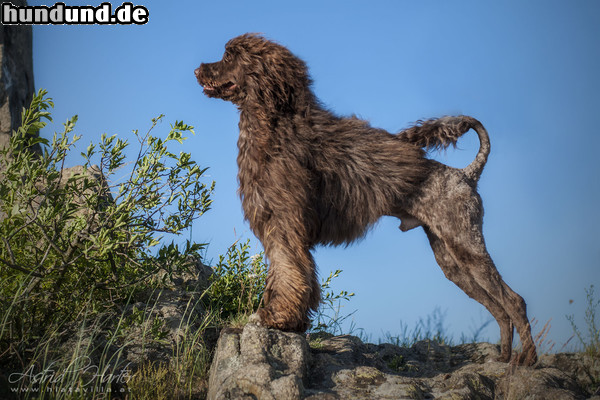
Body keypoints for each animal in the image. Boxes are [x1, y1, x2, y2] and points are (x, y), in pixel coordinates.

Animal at [195, 34, 536, 366]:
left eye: (229, 56)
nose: (198, 70)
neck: (277, 121)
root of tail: (466, 174)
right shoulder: (284, 227)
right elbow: (296, 275)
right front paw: (292, 322)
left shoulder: (284, 224)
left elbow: (288, 271)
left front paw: (276, 318)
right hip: (451, 261)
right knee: (498, 307)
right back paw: (504, 356)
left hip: (467, 246)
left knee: (514, 301)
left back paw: (527, 359)